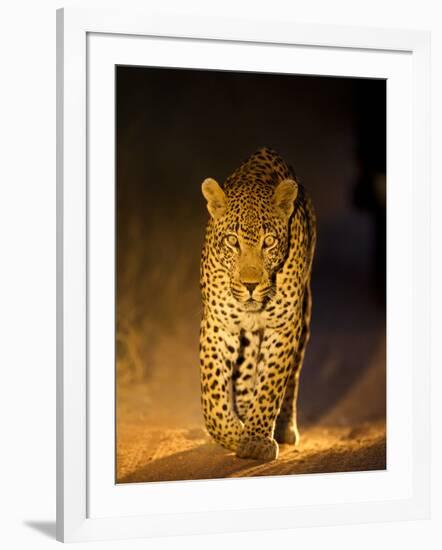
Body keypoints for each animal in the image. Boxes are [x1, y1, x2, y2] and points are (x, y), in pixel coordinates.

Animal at [199, 147, 316, 462]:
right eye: (232, 241)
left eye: (269, 241)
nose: (250, 284)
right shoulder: (219, 325)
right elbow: (213, 396)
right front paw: (233, 433)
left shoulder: (284, 327)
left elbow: (271, 386)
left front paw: (254, 440)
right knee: (245, 372)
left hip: (304, 316)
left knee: (293, 377)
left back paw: (285, 427)